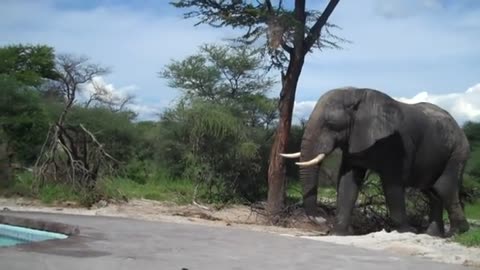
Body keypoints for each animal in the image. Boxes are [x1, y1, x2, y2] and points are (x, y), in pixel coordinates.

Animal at [282, 86, 468, 236]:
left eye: (330, 124)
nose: (321, 218)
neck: (356, 94)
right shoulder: (354, 141)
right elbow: (347, 181)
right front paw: (340, 233)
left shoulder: (396, 143)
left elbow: (392, 184)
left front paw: (407, 231)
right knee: (431, 191)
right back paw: (433, 235)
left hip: (457, 151)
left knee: (443, 187)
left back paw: (457, 233)